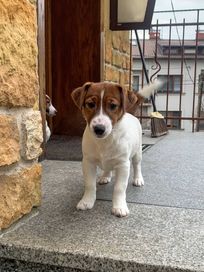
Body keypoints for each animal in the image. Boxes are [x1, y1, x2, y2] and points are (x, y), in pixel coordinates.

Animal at [71, 81, 161, 217]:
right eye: (90, 104)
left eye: (113, 106)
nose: (99, 129)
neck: (105, 140)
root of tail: (130, 113)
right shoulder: (88, 162)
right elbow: (89, 184)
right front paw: (87, 201)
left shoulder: (123, 165)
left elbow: (119, 188)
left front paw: (119, 207)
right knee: (107, 168)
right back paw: (105, 176)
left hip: (137, 153)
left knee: (137, 165)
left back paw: (138, 179)